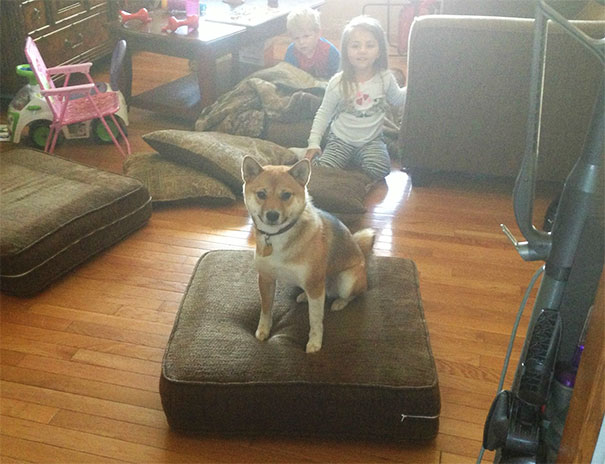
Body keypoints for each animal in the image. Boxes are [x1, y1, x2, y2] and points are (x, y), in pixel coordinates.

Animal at [239, 156, 372, 352]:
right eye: (261, 194)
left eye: (286, 195)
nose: (272, 215)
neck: (278, 236)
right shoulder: (265, 278)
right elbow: (265, 309)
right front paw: (263, 330)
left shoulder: (315, 284)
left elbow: (315, 320)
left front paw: (315, 343)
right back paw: (304, 296)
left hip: (346, 281)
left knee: (353, 294)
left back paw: (339, 302)